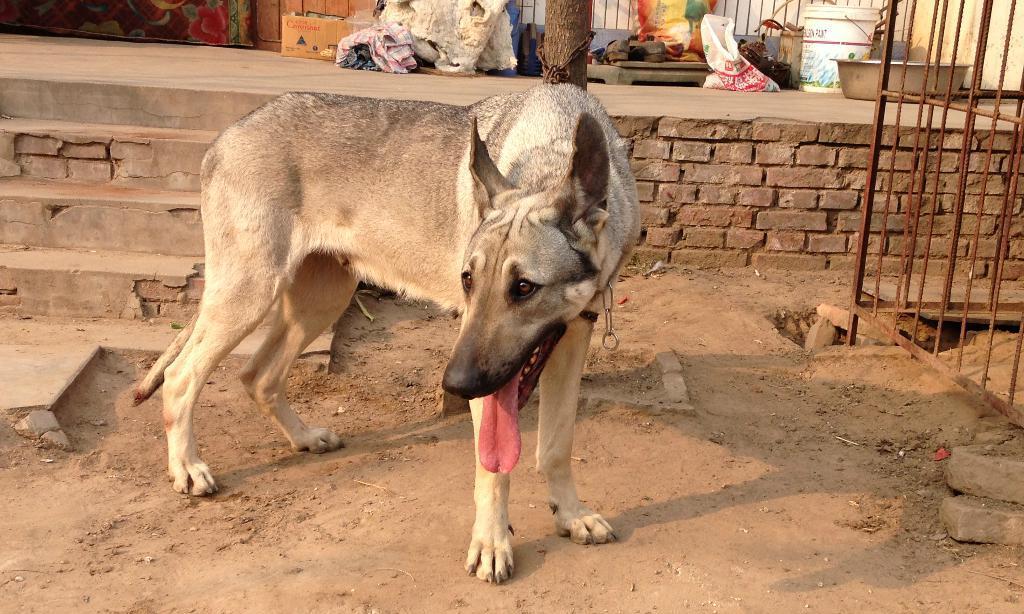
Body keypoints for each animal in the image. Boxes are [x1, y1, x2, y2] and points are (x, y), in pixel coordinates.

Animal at [132, 83, 634, 581]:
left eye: (524, 288)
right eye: (467, 280)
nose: (455, 385)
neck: (551, 151)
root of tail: (223, 138)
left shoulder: (573, 338)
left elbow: (557, 445)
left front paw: (570, 514)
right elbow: (492, 468)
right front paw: (492, 543)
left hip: (321, 299)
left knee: (258, 375)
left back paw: (304, 438)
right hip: (249, 293)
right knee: (181, 376)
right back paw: (188, 468)